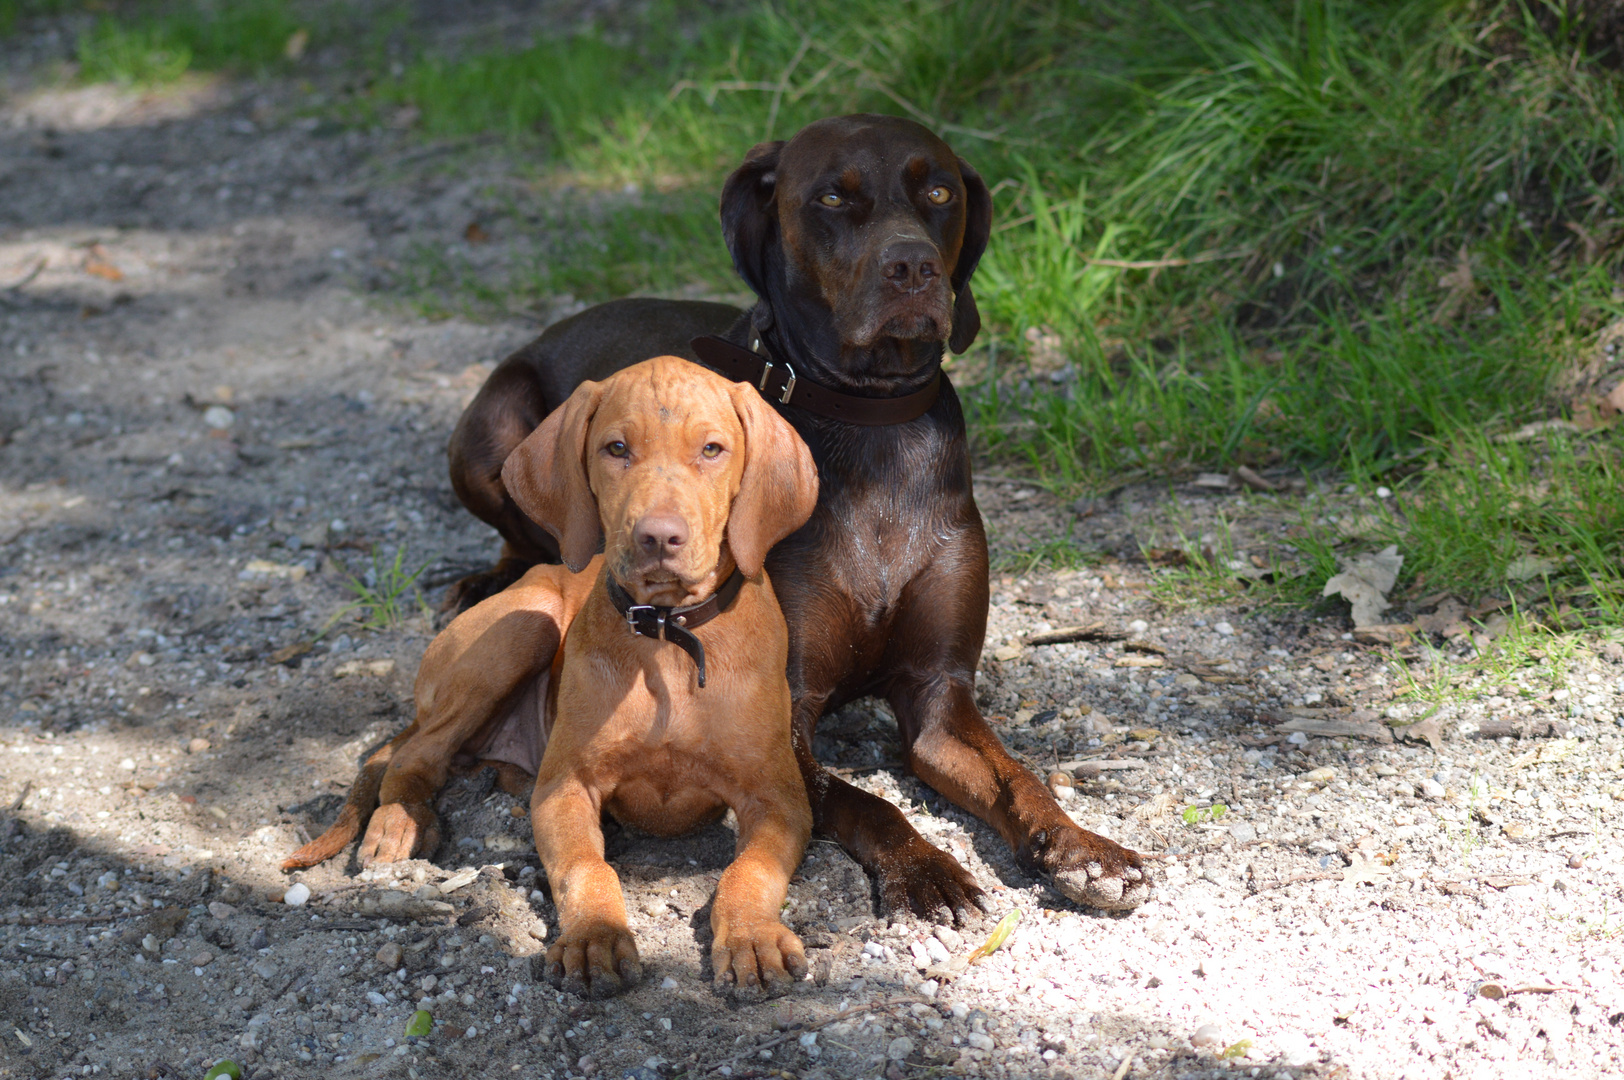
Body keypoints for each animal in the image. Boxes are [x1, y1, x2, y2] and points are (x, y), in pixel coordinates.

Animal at [282, 357, 824, 1000]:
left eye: (712, 450)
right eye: (617, 448)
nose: (658, 536)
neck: (668, 636)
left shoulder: (779, 799)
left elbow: (751, 871)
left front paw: (751, 938)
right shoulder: (566, 788)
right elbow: (588, 867)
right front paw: (594, 937)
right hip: (526, 623)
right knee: (413, 753)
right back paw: (400, 819)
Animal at [448, 113, 1156, 915]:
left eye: (939, 192)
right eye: (833, 198)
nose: (913, 268)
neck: (873, 422)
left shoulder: (939, 697)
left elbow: (1017, 777)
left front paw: (1084, 849)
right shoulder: (787, 710)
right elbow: (865, 803)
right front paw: (927, 868)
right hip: (492, 426)